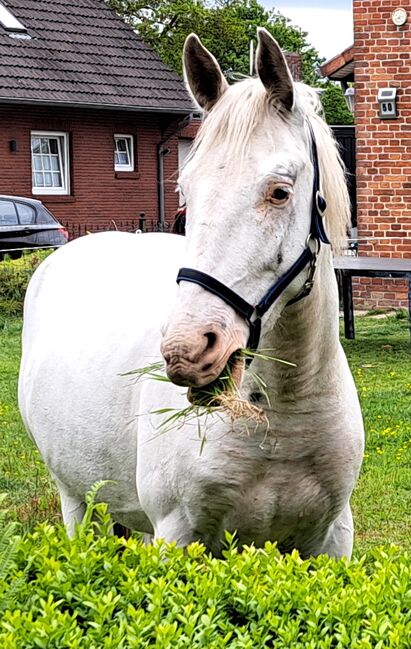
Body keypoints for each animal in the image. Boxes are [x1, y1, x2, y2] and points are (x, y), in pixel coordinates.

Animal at [17, 30, 364, 556]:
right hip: (77, 504)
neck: (281, 417)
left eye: (280, 192)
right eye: (187, 189)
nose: (189, 350)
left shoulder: (330, 541)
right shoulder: (177, 534)